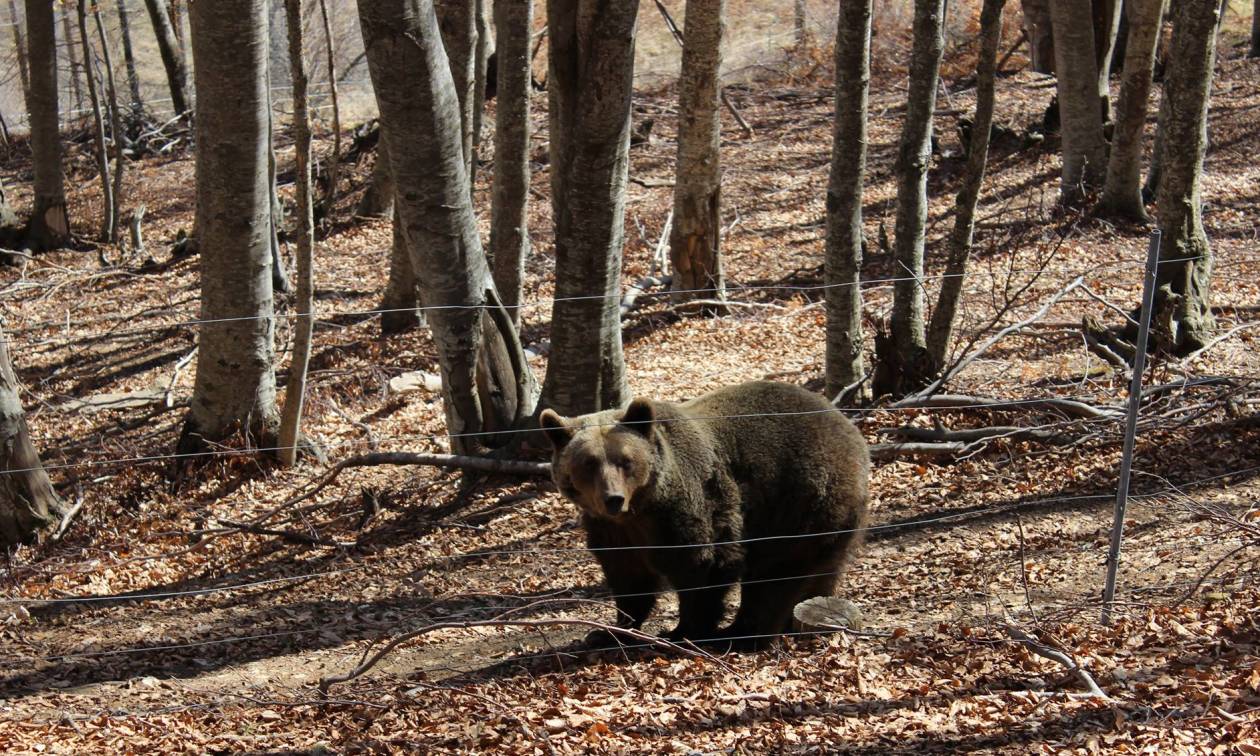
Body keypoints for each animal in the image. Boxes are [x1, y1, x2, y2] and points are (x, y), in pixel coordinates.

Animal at [536, 380, 871, 645]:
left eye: (626, 460)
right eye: (589, 463)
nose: (613, 498)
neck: (642, 510)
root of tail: (847, 427)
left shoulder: (691, 506)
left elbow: (704, 564)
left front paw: (682, 630)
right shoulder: (611, 530)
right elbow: (628, 576)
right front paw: (608, 631)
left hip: (799, 502)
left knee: (776, 573)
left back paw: (743, 634)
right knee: (822, 568)